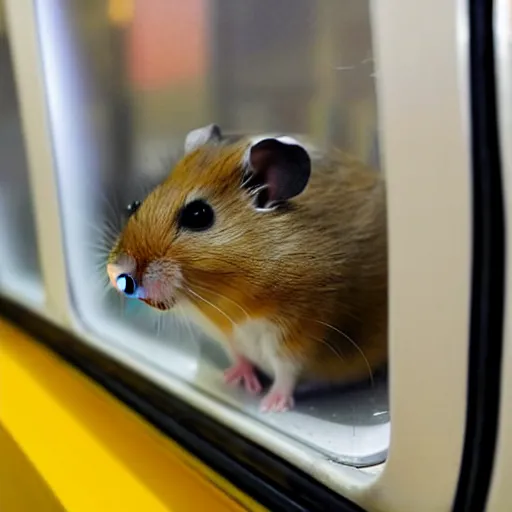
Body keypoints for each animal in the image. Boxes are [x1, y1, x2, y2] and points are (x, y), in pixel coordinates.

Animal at [108, 125, 388, 412]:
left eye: (198, 215)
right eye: (136, 204)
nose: (118, 273)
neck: (229, 305)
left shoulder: (297, 336)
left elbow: (286, 374)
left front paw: (270, 406)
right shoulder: (227, 337)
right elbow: (240, 357)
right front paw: (235, 381)